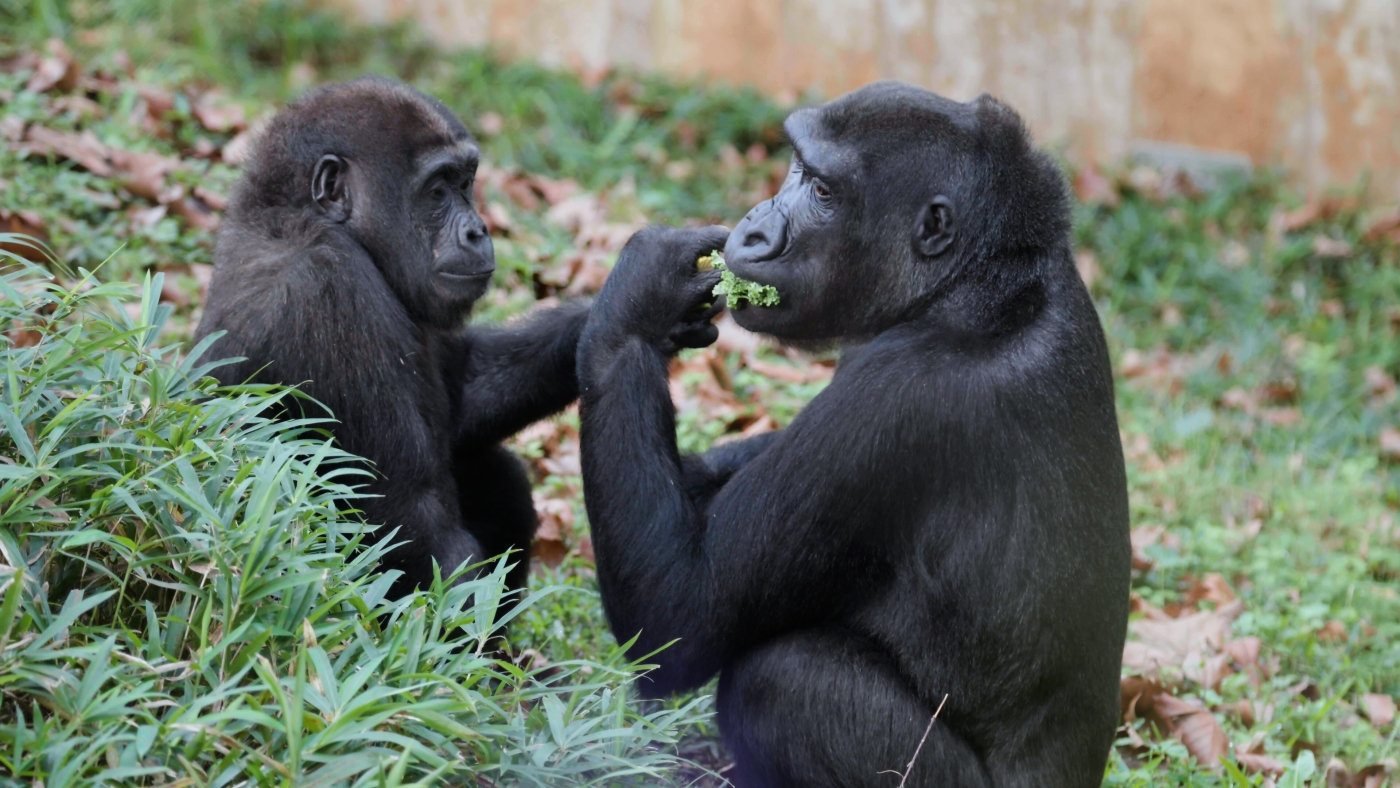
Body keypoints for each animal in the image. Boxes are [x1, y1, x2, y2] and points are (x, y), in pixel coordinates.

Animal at [574, 81, 1131, 788]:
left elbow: (681, 617)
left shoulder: (902, 396)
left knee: (783, 680)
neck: (975, 281)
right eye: (795, 168)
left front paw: (641, 295)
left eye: (822, 191)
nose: (754, 227)